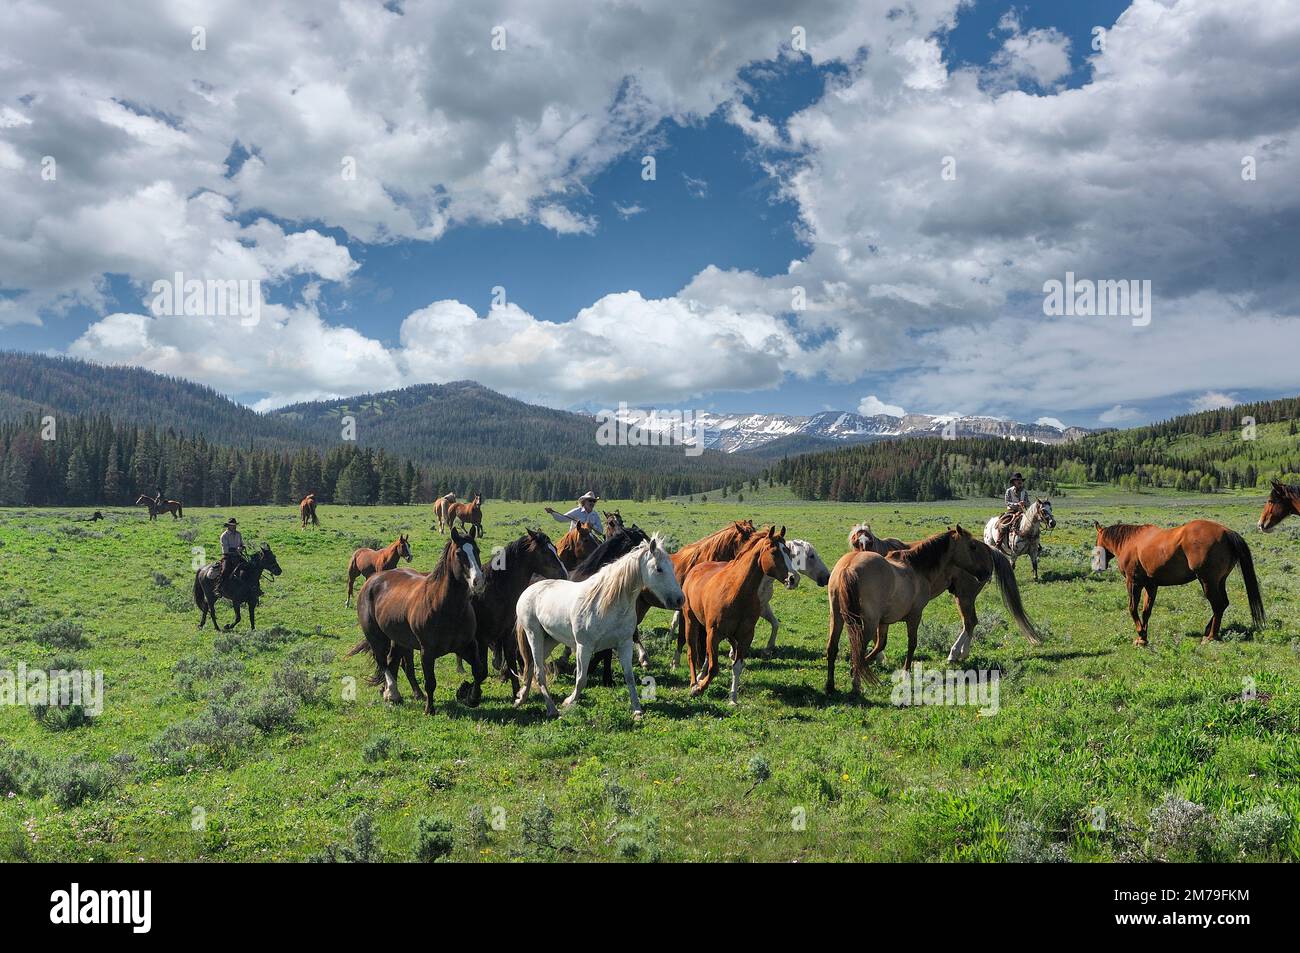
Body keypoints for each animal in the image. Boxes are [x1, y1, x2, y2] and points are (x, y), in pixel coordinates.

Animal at [353, 527, 486, 712]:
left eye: (477, 551)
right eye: (459, 554)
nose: (478, 581)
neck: (446, 608)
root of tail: (371, 580)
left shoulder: (466, 646)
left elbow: (479, 671)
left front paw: (473, 698)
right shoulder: (427, 651)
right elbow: (430, 682)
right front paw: (429, 709)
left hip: (399, 640)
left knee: (393, 661)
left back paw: (395, 693)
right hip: (376, 638)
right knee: (383, 662)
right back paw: (393, 693)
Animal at [512, 530, 686, 717]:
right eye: (659, 569)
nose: (680, 599)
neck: (606, 604)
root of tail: (529, 590)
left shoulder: (624, 644)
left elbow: (629, 677)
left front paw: (637, 709)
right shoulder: (584, 647)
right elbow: (581, 678)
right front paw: (569, 701)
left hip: (551, 639)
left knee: (530, 667)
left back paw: (521, 698)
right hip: (534, 635)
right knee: (538, 671)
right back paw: (551, 708)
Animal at [681, 525, 800, 702]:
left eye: (788, 551)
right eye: (774, 552)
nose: (793, 579)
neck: (737, 592)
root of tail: (696, 568)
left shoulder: (745, 636)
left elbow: (737, 666)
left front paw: (733, 698)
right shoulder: (714, 633)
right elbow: (714, 667)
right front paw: (698, 688)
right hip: (691, 621)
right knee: (692, 653)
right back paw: (694, 681)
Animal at [826, 527, 1040, 691]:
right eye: (972, 546)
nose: (985, 572)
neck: (916, 567)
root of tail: (848, 567)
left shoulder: (884, 622)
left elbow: (880, 645)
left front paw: (860, 667)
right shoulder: (913, 616)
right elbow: (910, 644)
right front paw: (904, 673)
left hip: (837, 618)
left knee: (833, 648)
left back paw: (831, 685)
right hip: (867, 623)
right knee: (858, 648)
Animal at [1092, 520, 1263, 647]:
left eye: (1096, 543)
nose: (1099, 565)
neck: (1130, 541)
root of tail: (1227, 532)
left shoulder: (1133, 582)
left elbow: (1132, 608)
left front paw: (1140, 633)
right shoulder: (1151, 585)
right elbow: (1146, 611)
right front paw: (1143, 638)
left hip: (1207, 581)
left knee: (1218, 605)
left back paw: (1211, 637)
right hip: (1219, 581)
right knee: (1224, 604)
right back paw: (1208, 630)